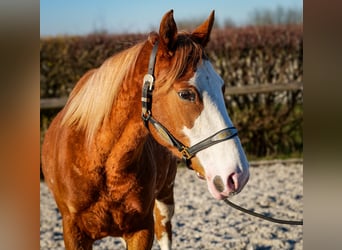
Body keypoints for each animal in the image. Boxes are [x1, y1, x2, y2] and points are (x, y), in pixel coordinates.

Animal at [41, 10, 250, 250]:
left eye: (222, 87)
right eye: (186, 94)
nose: (238, 174)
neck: (99, 159)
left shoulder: (142, 229)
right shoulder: (74, 233)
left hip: (165, 198)